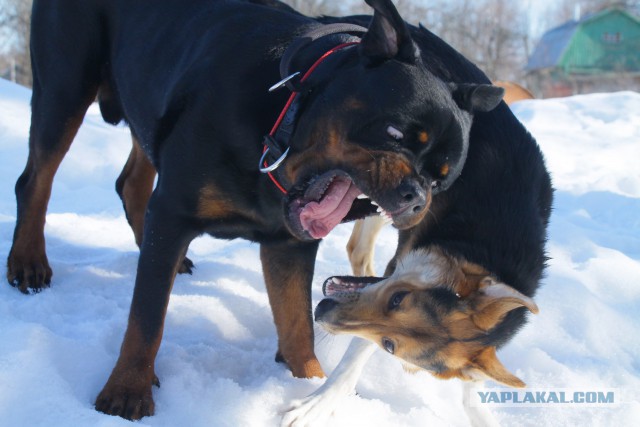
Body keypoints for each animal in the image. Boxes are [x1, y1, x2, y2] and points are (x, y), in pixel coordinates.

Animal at [5, 0, 504, 422]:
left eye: (441, 179)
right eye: (396, 133)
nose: (416, 195)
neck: (280, 121)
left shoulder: (288, 244)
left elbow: (297, 321)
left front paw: (308, 384)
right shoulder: (174, 213)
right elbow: (147, 316)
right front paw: (127, 391)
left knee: (130, 185)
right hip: (65, 86)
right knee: (36, 180)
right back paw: (28, 261)